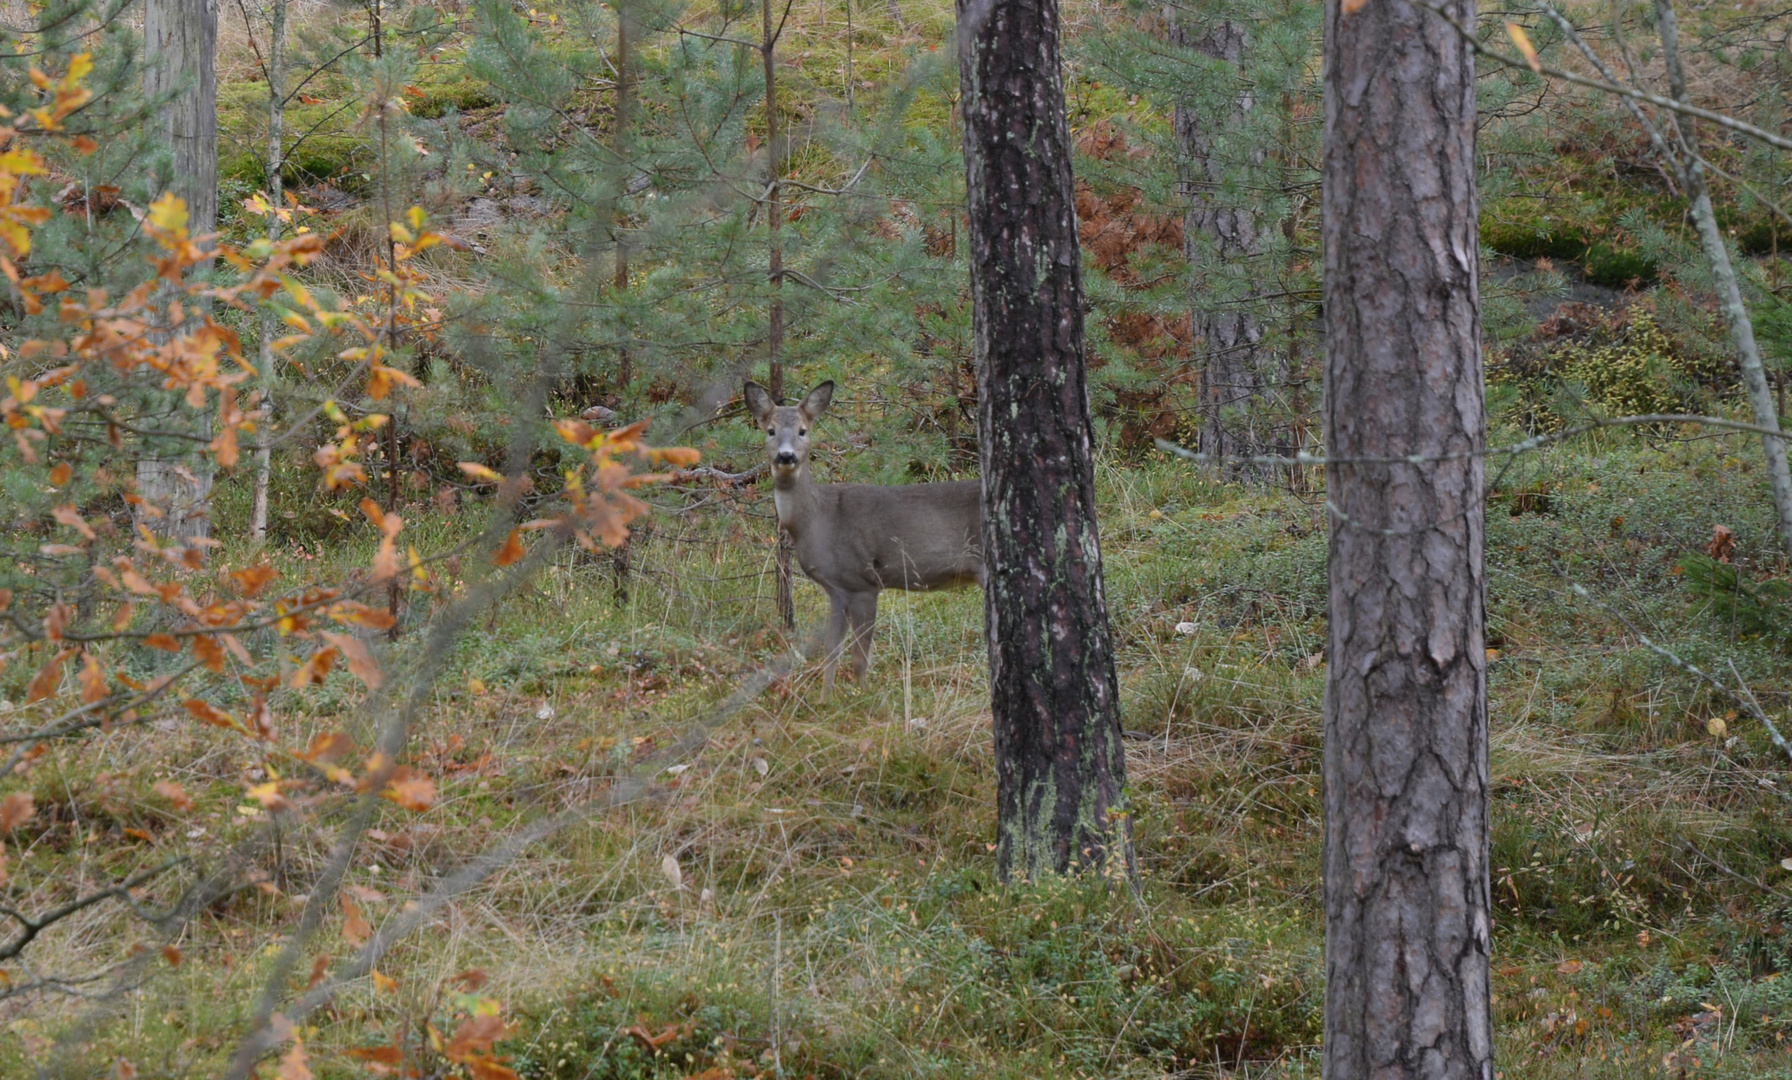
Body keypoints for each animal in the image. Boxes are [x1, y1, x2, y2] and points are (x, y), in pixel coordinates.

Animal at [745, 385, 989, 698]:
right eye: (770, 430)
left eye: (802, 430)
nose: (786, 457)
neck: (816, 522)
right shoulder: (836, 589)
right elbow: (831, 652)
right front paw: (825, 700)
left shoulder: (863, 581)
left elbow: (860, 658)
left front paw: (863, 698)